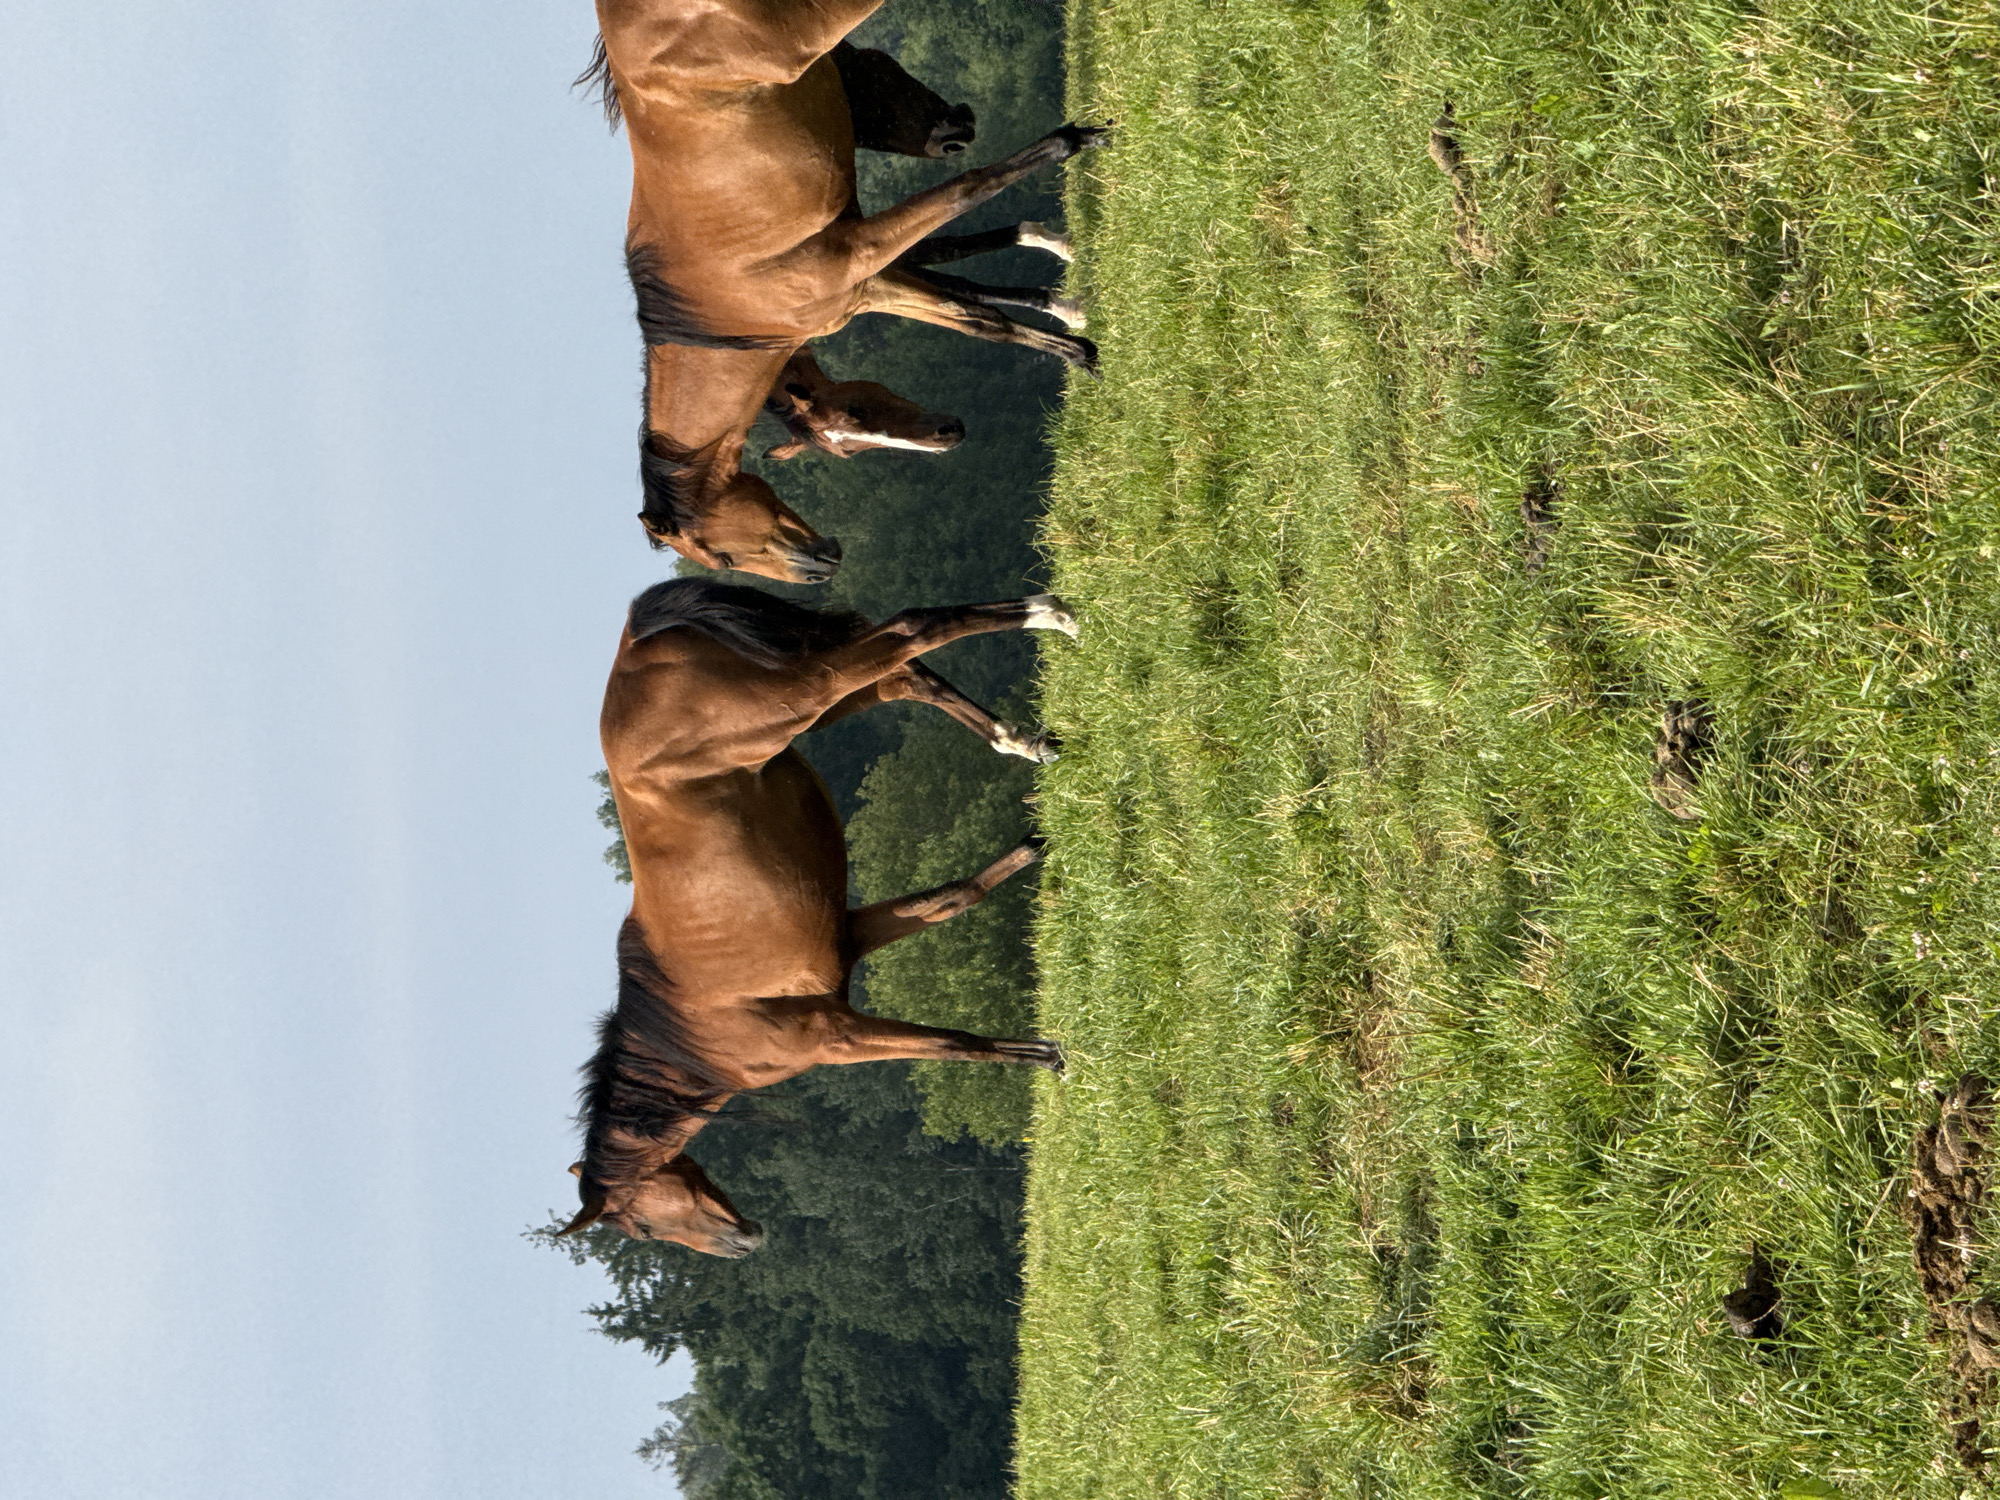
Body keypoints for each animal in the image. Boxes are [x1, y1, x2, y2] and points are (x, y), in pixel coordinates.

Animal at [558, 578, 1076, 1252]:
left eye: (642, 1228)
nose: (745, 1243)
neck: (691, 1032)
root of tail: (636, 641)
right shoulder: (849, 937)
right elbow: (952, 899)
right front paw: (1036, 843)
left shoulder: (837, 1037)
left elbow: (952, 1045)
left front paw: (1044, 1057)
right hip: (815, 701)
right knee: (903, 676)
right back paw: (1026, 739)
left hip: (799, 697)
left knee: (910, 631)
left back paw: (1050, 616)